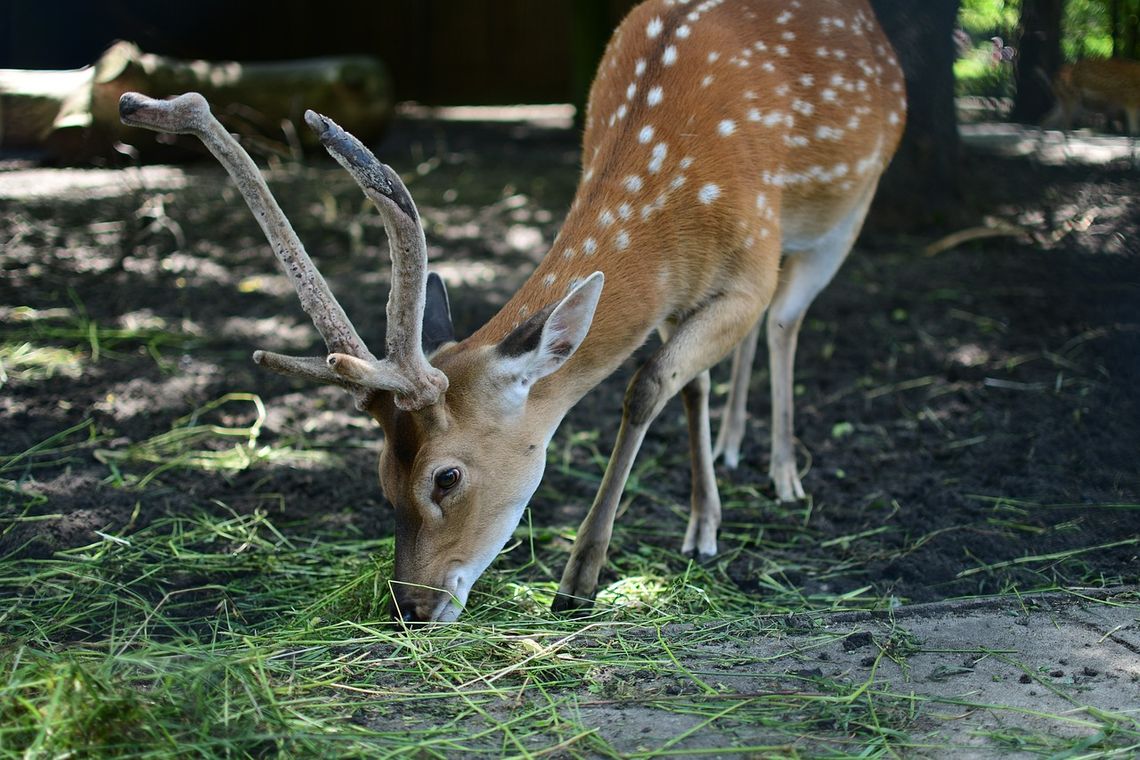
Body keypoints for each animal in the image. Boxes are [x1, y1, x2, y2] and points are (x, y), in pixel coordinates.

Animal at [120, 0, 902, 624]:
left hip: (847, 213)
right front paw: (702, 523)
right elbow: (685, 384)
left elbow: (648, 384)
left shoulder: (749, 270)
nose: (411, 607)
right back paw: (733, 451)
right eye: (380, 475)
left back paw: (783, 474)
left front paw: (579, 579)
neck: (680, 200)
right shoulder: (682, 299)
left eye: (446, 477)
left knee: (784, 321)